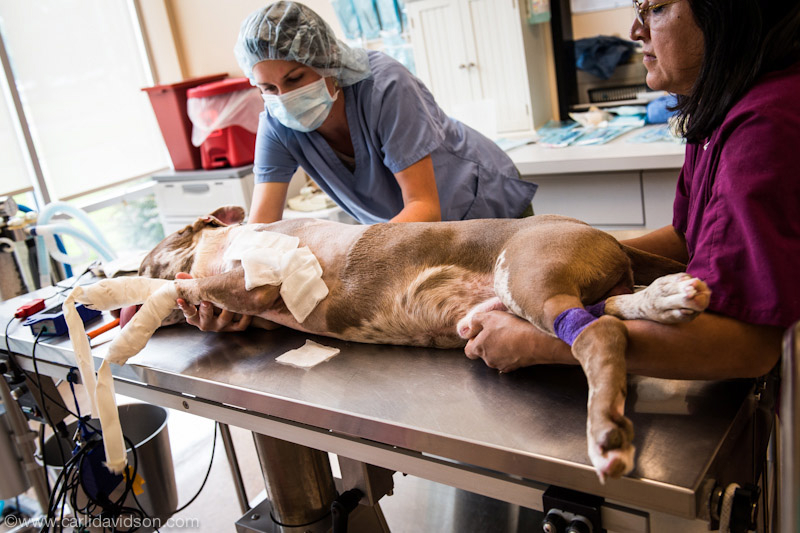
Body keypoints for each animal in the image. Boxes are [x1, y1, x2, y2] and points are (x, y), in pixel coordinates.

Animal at [139, 206, 712, 480]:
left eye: (145, 260)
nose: (125, 275)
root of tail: (604, 235)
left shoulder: (259, 278)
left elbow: (187, 287)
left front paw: (150, 303)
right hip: (553, 293)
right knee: (616, 313)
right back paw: (670, 297)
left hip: (528, 276)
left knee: (598, 334)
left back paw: (605, 436)